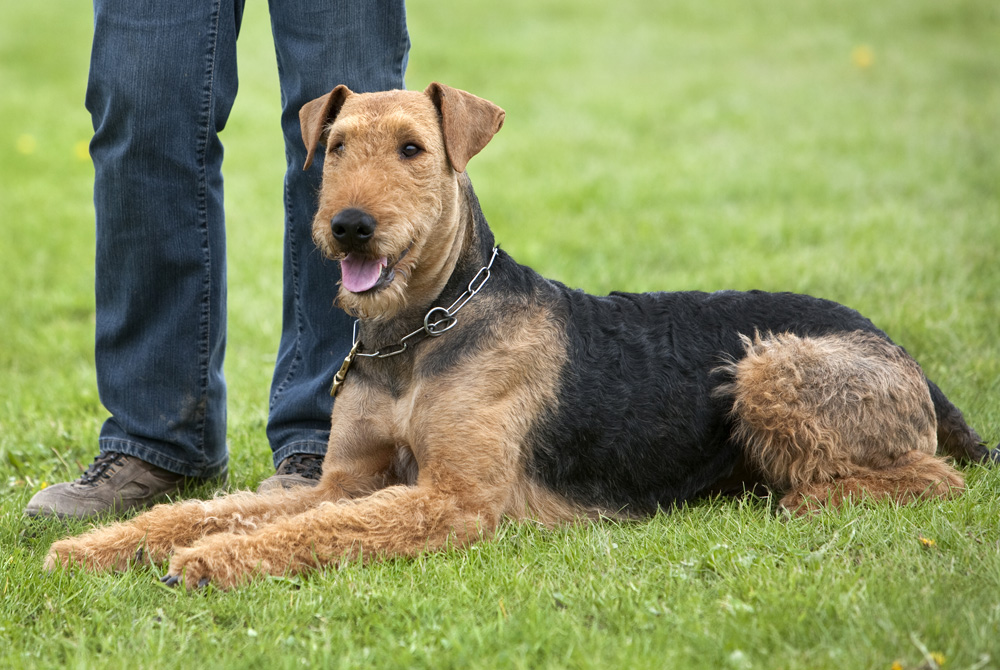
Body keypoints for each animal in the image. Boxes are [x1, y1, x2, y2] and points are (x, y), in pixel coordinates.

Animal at [41, 82, 1000, 588]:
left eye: (413, 148)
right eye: (338, 143)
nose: (350, 227)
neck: (418, 335)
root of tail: (905, 354)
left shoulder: (453, 499)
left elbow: (290, 531)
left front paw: (208, 560)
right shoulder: (345, 482)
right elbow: (215, 508)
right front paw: (97, 547)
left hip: (771, 368)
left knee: (931, 479)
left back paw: (794, 497)